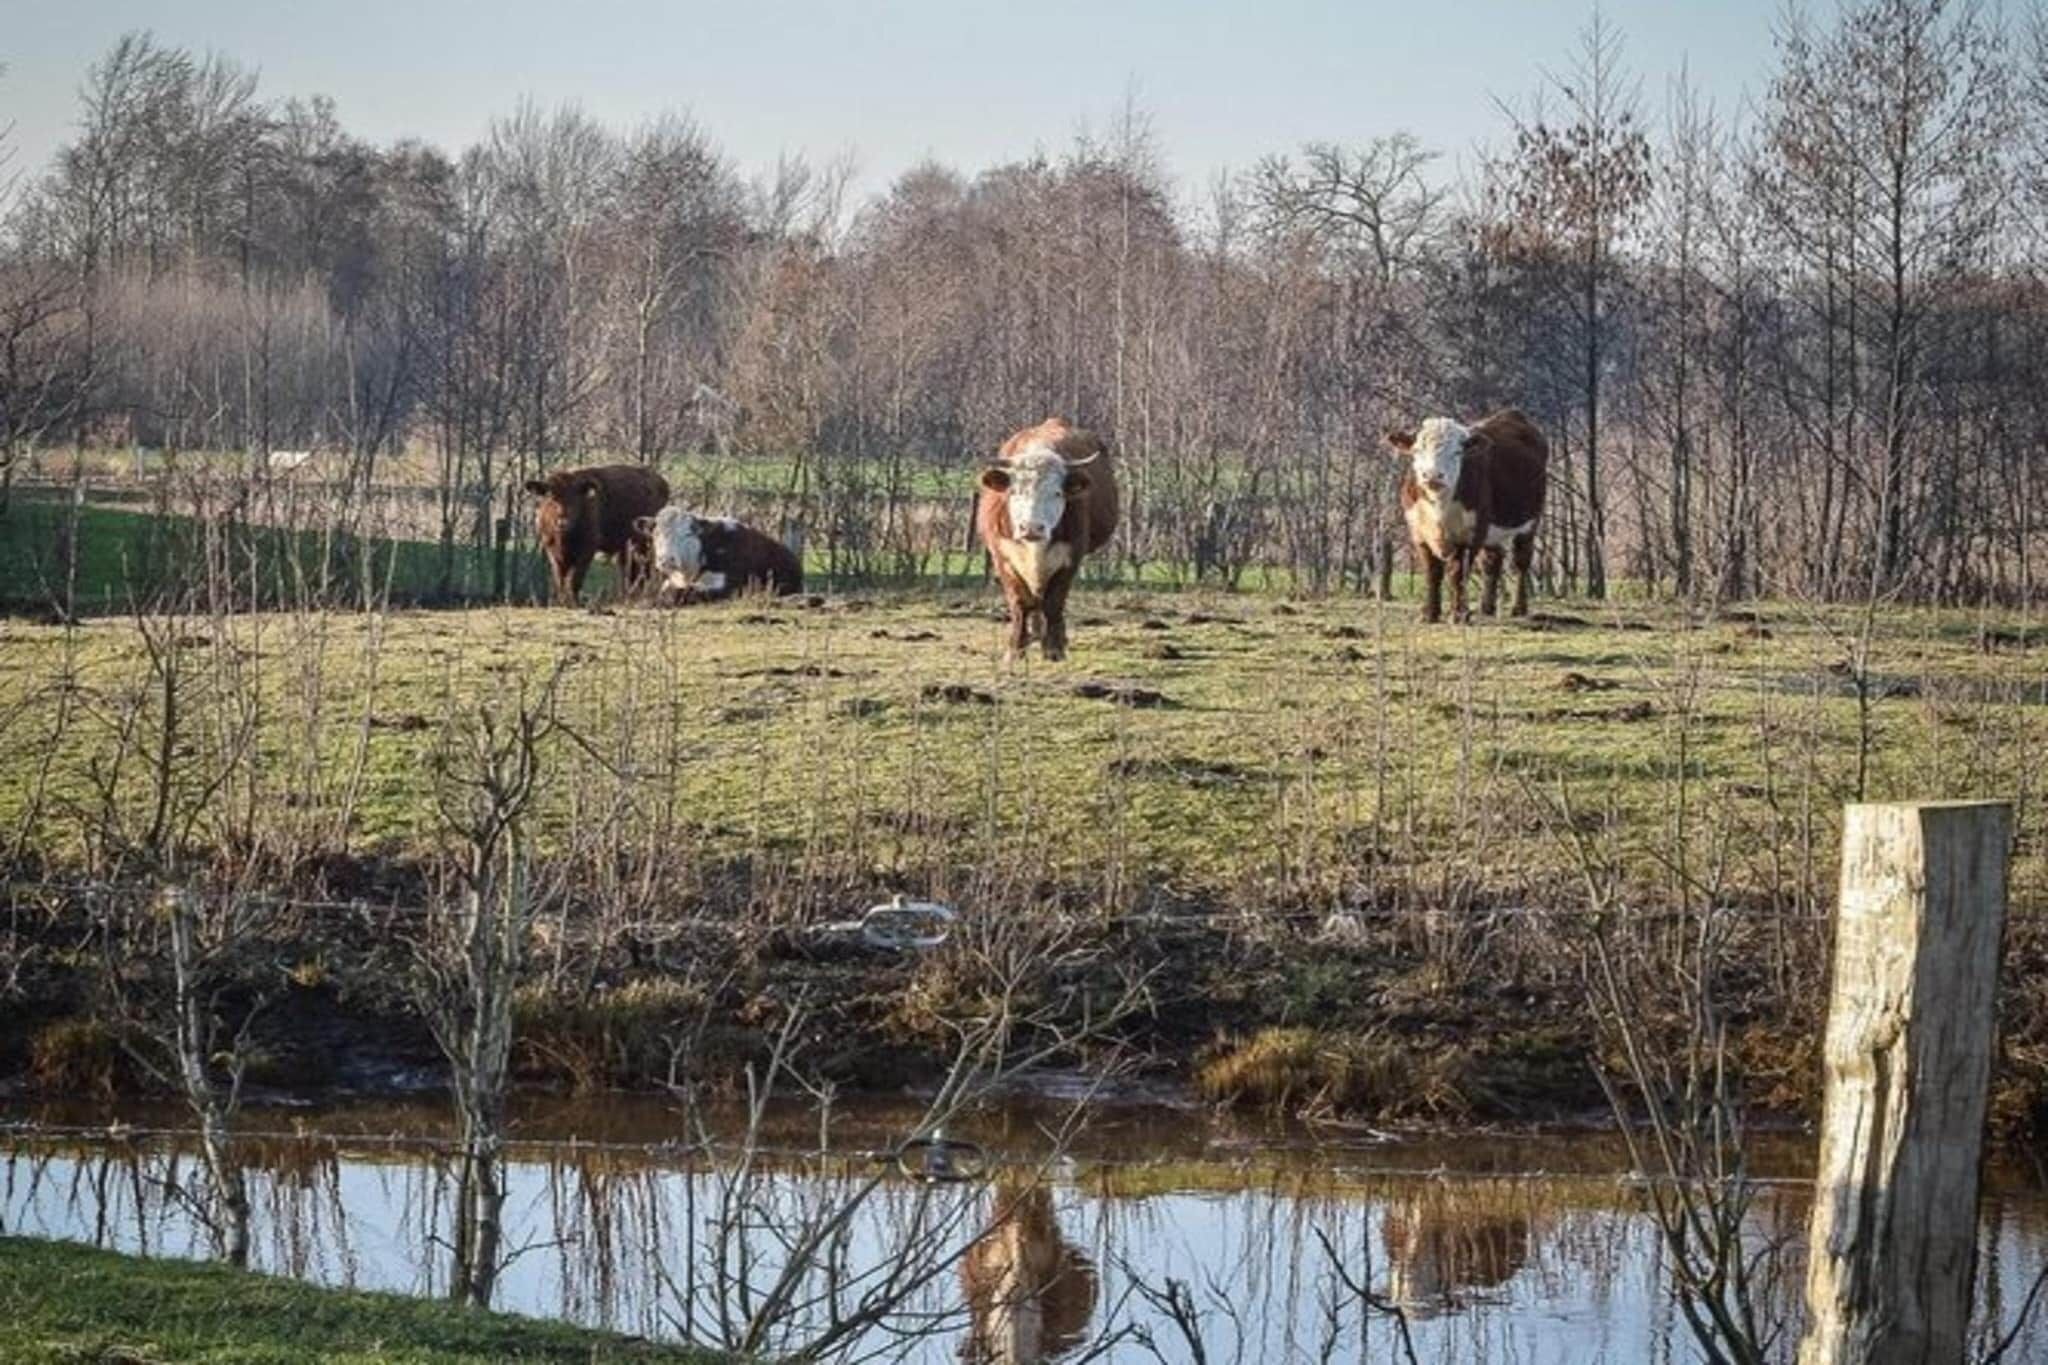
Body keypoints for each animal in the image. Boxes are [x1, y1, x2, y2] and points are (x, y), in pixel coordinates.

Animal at [523, 464, 671, 606]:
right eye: (551, 496)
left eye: (575, 498)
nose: (563, 522)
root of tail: (661, 482)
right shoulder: (552, 551)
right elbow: (560, 578)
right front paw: (562, 601)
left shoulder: (587, 550)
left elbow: (575, 578)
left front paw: (573, 602)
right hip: (628, 547)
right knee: (631, 571)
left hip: (645, 543)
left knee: (644, 569)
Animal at [637, 506, 804, 601]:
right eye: (656, 534)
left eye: (688, 534)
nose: (667, 559)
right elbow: (666, 587)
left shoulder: (728, 585)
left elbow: (680, 591)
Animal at [976, 418, 1119, 661]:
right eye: (1014, 492)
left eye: (1057, 493)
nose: (1032, 527)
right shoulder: (1002, 557)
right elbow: (1020, 602)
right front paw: (1016, 649)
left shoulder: (1070, 558)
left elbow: (1054, 603)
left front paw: (1054, 649)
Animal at [1385, 408, 1548, 623]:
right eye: (1417, 450)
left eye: (1457, 452)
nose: (1432, 475)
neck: (1439, 508)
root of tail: (1512, 414)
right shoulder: (1419, 533)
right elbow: (1432, 572)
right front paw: (1429, 614)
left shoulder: (1471, 534)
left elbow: (1458, 573)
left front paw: (1459, 614)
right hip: (1492, 531)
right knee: (1492, 561)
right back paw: (1486, 607)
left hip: (1530, 522)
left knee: (1521, 560)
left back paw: (1518, 608)